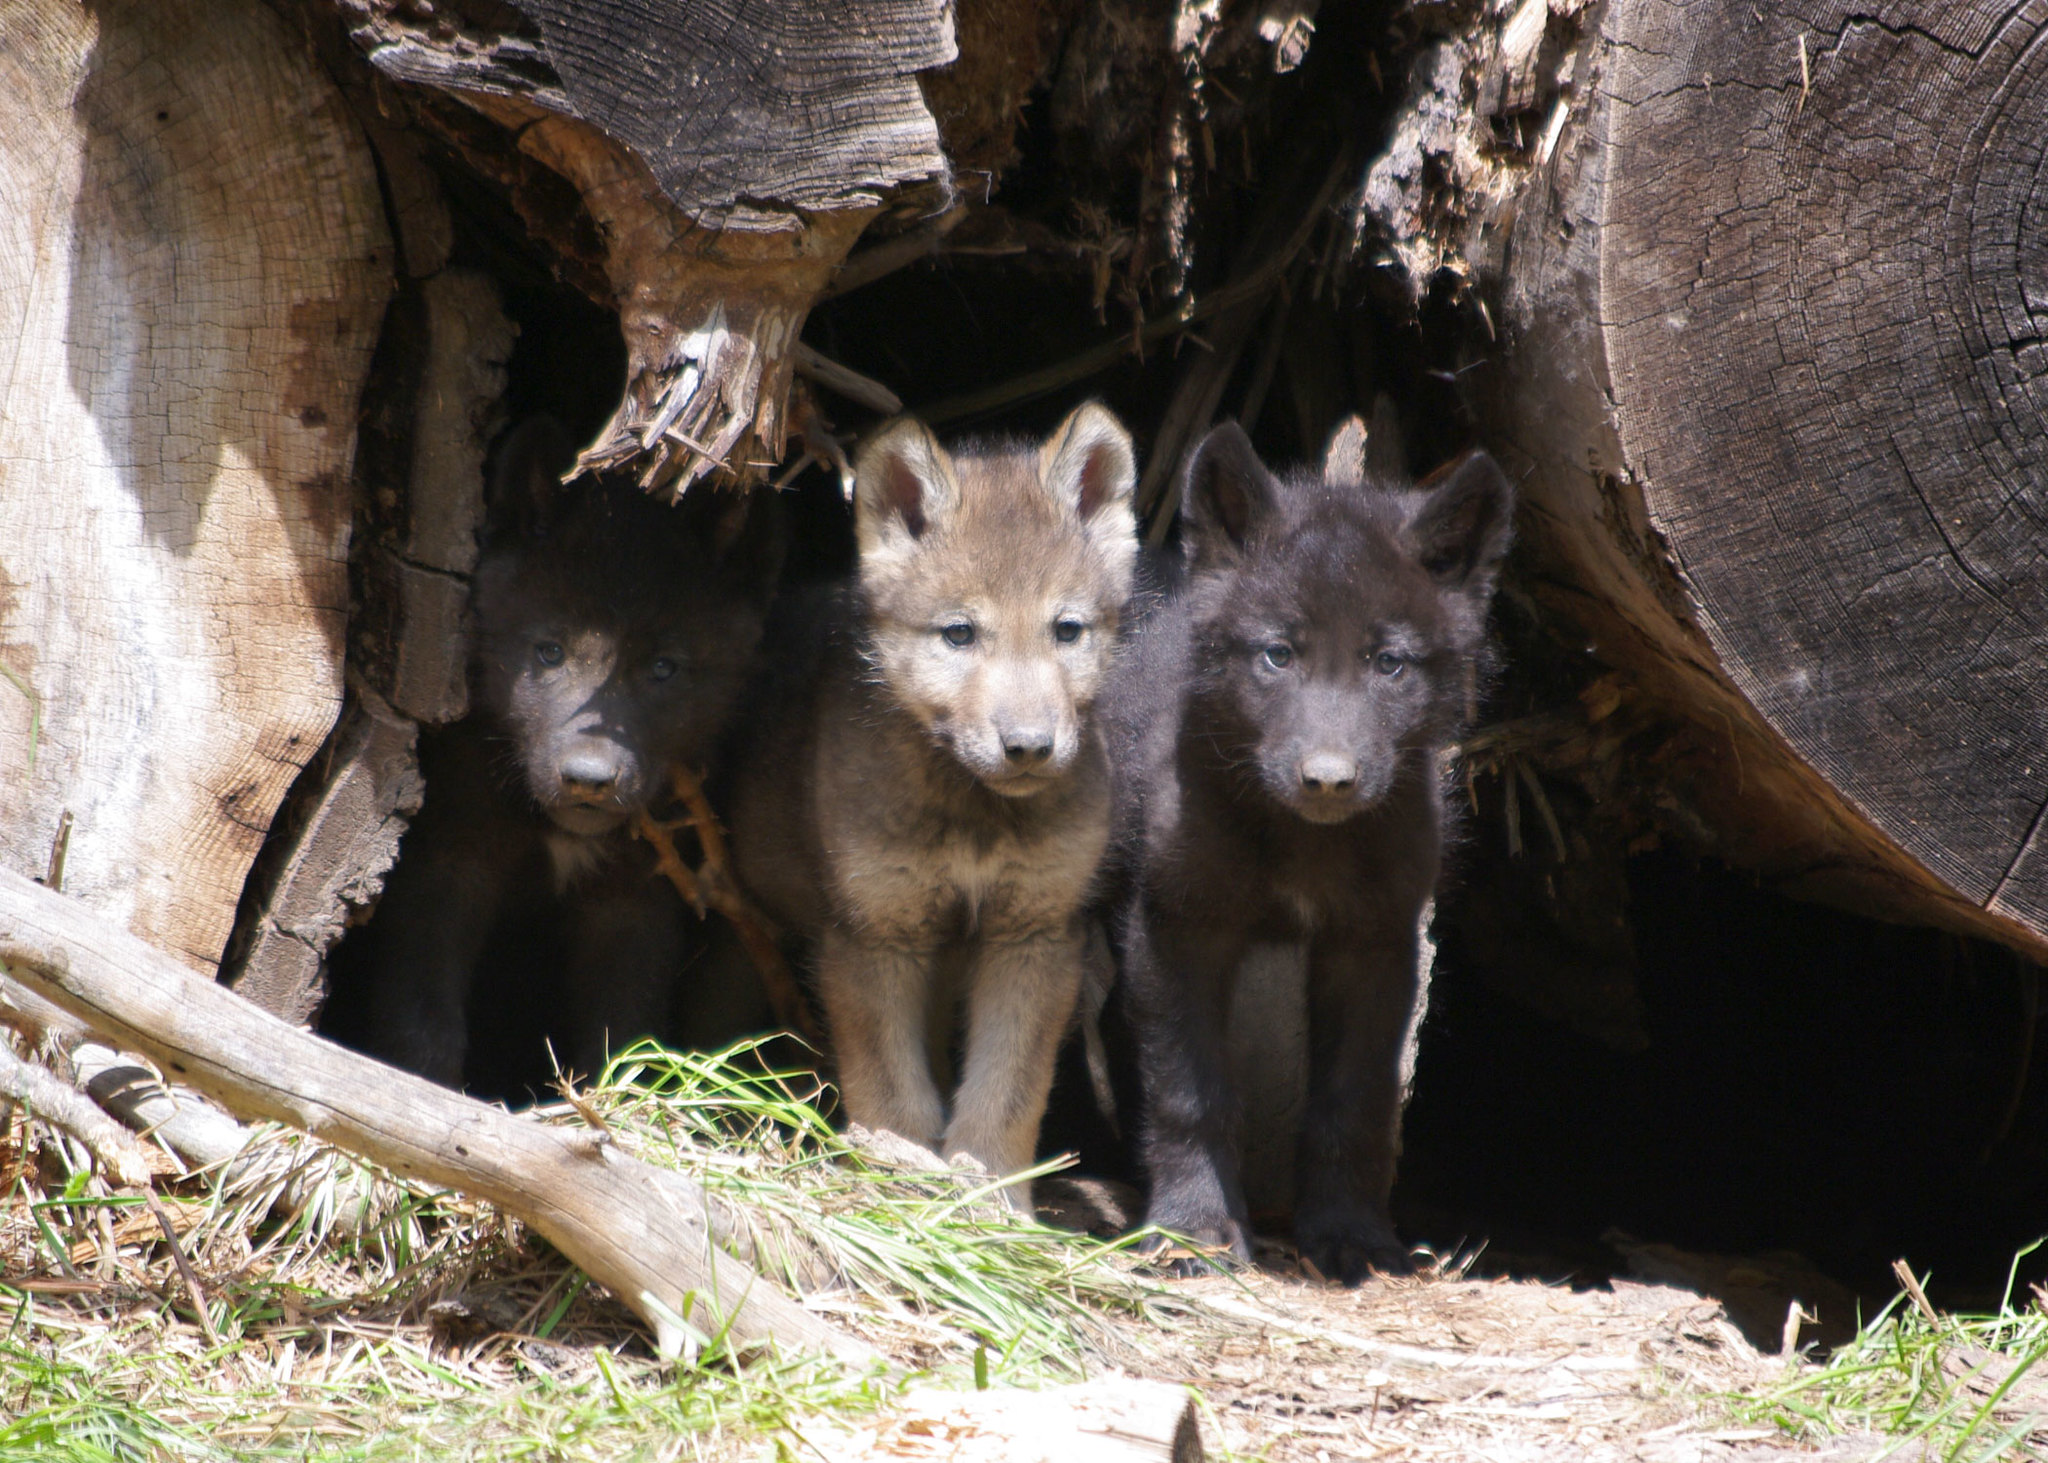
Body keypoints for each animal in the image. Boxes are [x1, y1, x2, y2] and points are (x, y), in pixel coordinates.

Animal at [333, 418, 780, 1092]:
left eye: (664, 668)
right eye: (549, 652)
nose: (588, 779)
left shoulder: (634, 900)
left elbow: (622, 1029)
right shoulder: (447, 857)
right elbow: (424, 1013)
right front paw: (420, 1089)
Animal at [728, 402, 1139, 1208]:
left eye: (1066, 630)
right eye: (959, 633)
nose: (1029, 745)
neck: (973, 819)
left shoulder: (1034, 934)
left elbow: (1005, 1093)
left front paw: (991, 1199)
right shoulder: (873, 935)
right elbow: (894, 1096)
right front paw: (899, 1184)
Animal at [1104, 417, 1512, 1281]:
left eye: (1388, 662)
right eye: (1277, 654)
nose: (1328, 779)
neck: (1302, 841)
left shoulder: (1375, 939)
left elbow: (1352, 1102)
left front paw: (1350, 1234)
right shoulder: (1176, 924)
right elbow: (1189, 1093)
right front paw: (1193, 1229)